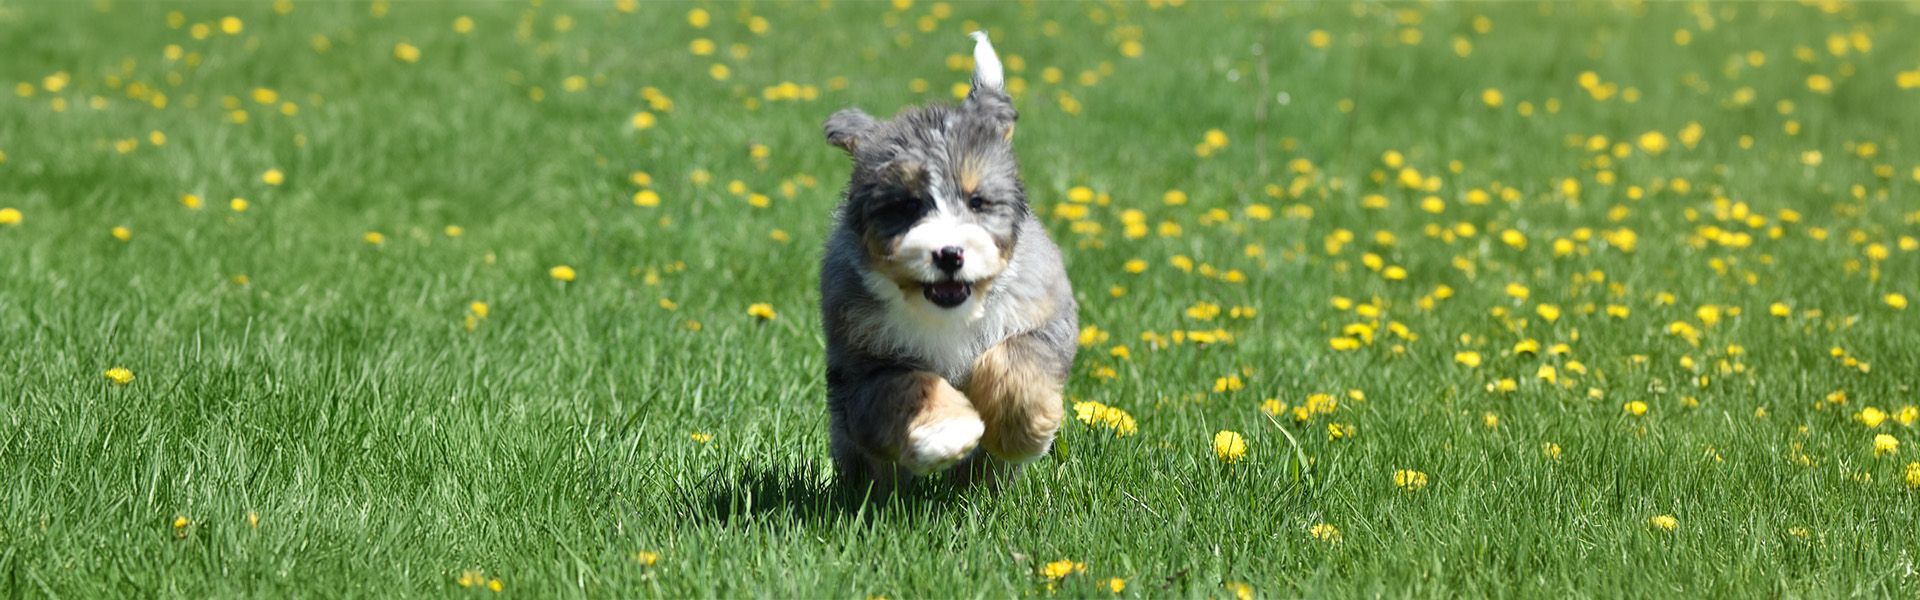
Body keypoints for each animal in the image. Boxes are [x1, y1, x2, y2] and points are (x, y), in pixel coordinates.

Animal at [814, 30, 1075, 496]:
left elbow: (1015, 364)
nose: (949, 254)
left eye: (977, 202)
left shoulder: (1043, 319)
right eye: (907, 205)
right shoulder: (863, 361)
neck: (948, 314)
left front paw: (1022, 433)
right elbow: (910, 387)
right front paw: (946, 433)